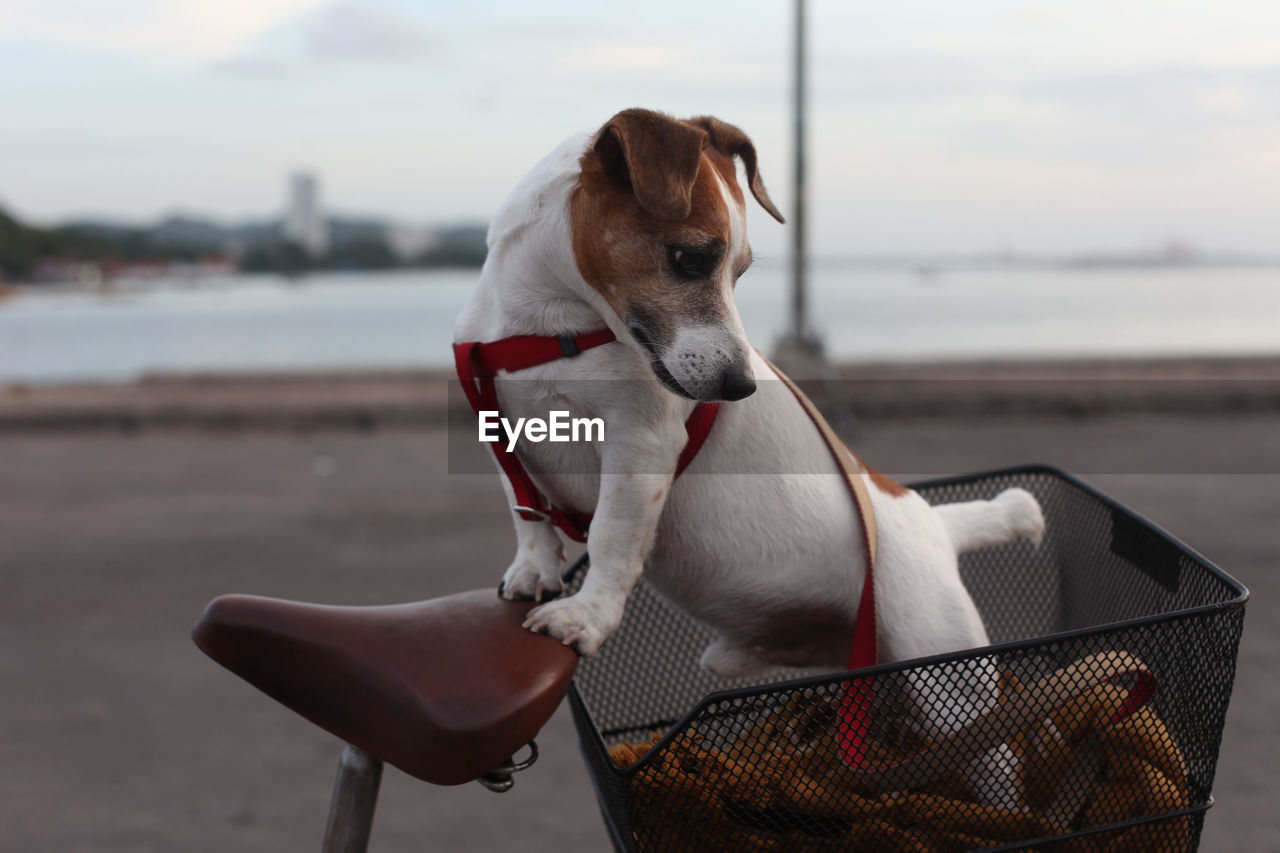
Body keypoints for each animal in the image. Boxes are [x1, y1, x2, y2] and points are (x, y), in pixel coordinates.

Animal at [455, 109, 1044, 799]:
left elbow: (610, 539)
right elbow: (528, 514)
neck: (550, 329)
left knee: (993, 761)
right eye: (690, 258)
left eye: (739, 272)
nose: (741, 385)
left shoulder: (640, 445)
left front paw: (588, 618)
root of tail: (934, 524)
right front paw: (534, 571)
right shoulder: (503, 428)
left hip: (949, 681)